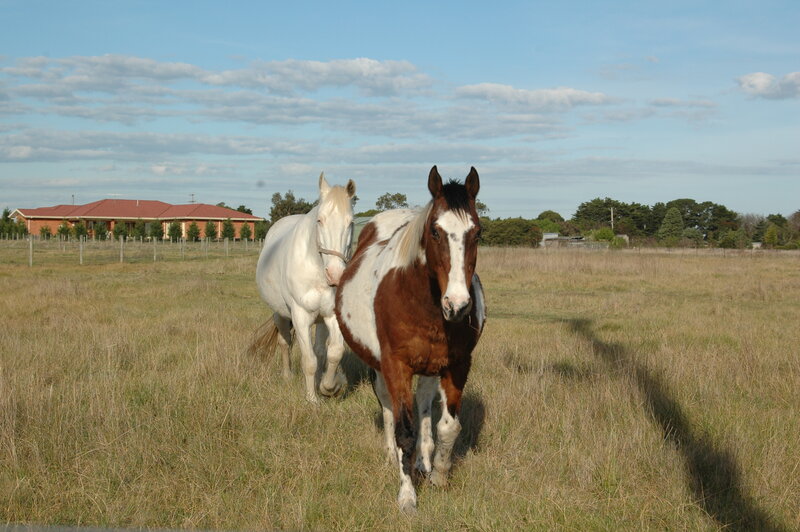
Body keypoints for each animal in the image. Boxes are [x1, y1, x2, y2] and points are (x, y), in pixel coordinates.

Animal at [253, 173, 356, 403]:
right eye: (320, 220)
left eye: (351, 222)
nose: (335, 274)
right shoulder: (300, 316)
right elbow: (308, 360)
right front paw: (311, 399)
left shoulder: (331, 315)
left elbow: (333, 352)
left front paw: (329, 387)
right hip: (281, 314)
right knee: (284, 342)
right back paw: (287, 376)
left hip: (320, 319)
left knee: (320, 351)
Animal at [335, 166, 486, 513]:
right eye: (435, 231)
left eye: (478, 232)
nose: (458, 305)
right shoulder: (396, 366)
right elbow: (404, 430)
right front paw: (407, 497)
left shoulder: (458, 364)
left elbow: (447, 426)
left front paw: (439, 477)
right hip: (380, 369)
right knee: (389, 408)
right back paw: (393, 458)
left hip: (430, 369)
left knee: (425, 405)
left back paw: (423, 462)